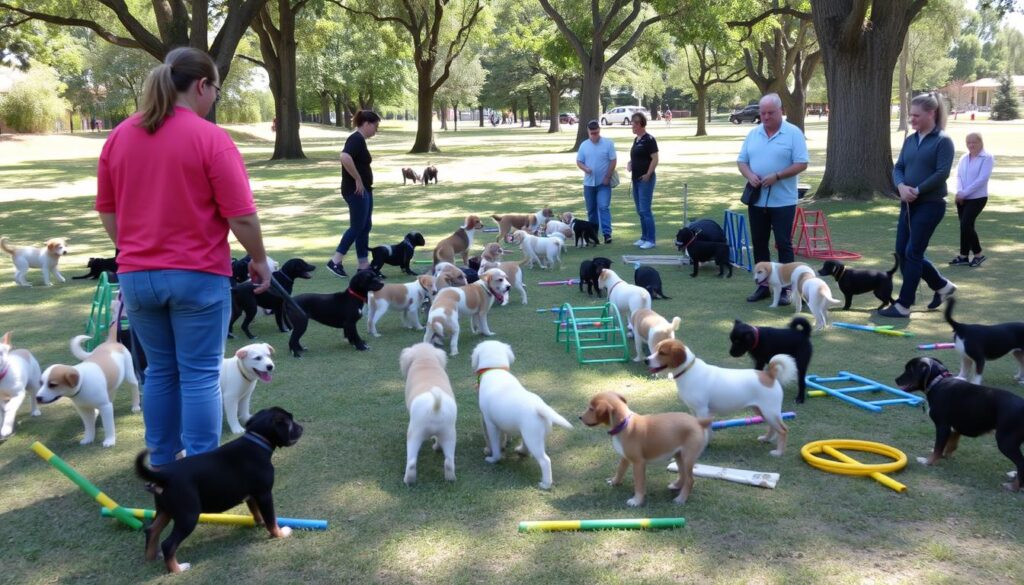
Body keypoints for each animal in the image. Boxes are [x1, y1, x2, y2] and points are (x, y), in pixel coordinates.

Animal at [133, 407, 299, 573]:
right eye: (290, 422)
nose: (301, 427)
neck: (257, 440)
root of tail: (164, 475)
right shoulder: (264, 494)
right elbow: (271, 518)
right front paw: (279, 533)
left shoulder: (252, 496)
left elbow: (257, 512)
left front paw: (260, 523)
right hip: (188, 515)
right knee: (168, 544)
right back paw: (178, 568)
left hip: (165, 510)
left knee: (151, 530)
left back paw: (151, 557)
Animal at [399, 344, 456, 485]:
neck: (425, 360)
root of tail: (436, 407)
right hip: (449, 434)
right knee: (449, 462)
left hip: (414, 433)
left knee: (411, 462)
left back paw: (408, 480)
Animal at [473, 340, 577, 487]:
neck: (495, 369)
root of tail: (539, 407)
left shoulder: (490, 423)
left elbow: (494, 443)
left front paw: (493, 458)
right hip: (532, 435)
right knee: (528, 449)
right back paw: (521, 451)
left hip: (532, 437)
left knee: (545, 461)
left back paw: (545, 484)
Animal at [643, 338, 794, 456]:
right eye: (655, 350)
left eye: (662, 353)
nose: (646, 360)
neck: (688, 371)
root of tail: (769, 375)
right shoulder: (695, 410)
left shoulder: (702, 410)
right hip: (761, 411)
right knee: (773, 427)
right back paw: (766, 439)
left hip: (770, 411)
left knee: (783, 430)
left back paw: (778, 452)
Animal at [892, 356, 1019, 489]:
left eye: (910, 370)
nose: (896, 380)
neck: (938, 383)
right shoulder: (954, 429)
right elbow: (949, 445)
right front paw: (944, 456)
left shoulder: (943, 426)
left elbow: (938, 447)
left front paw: (928, 461)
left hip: (1006, 441)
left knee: (1021, 463)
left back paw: (1013, 486)